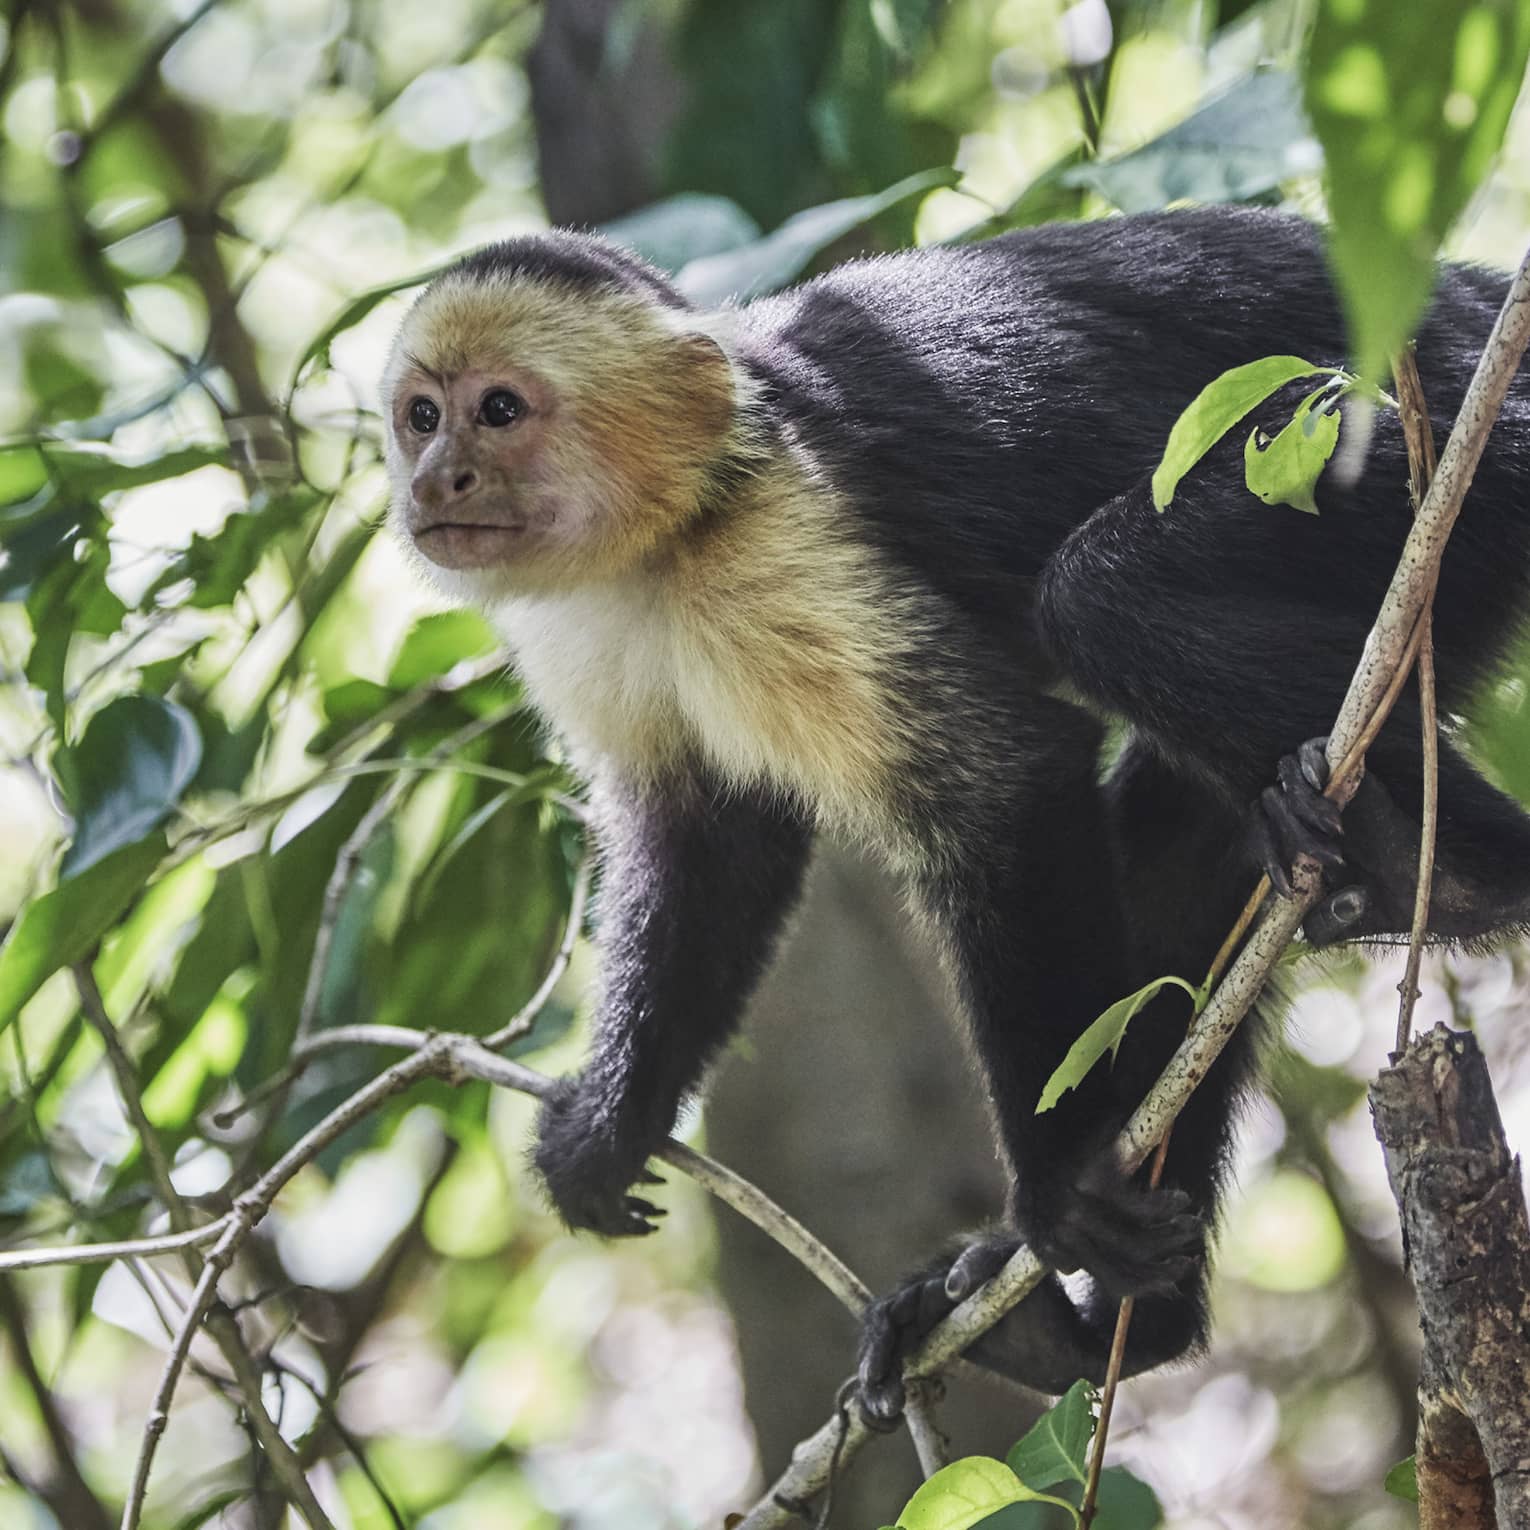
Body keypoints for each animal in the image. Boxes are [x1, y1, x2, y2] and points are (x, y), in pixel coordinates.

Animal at [380, 208, 1530, 1423]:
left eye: (501, 411)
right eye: (422, 416)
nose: (439, 479)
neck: (677, 525)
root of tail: (1471, 294)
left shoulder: (789, 541)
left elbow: (1006, 783)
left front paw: (1061, 1184)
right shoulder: (591, 630)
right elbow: (707, 847)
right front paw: (611, 1126)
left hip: (1441, 444)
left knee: (1102, 597)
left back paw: (1470, 876)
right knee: (1180, 838)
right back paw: (1108, 1332)